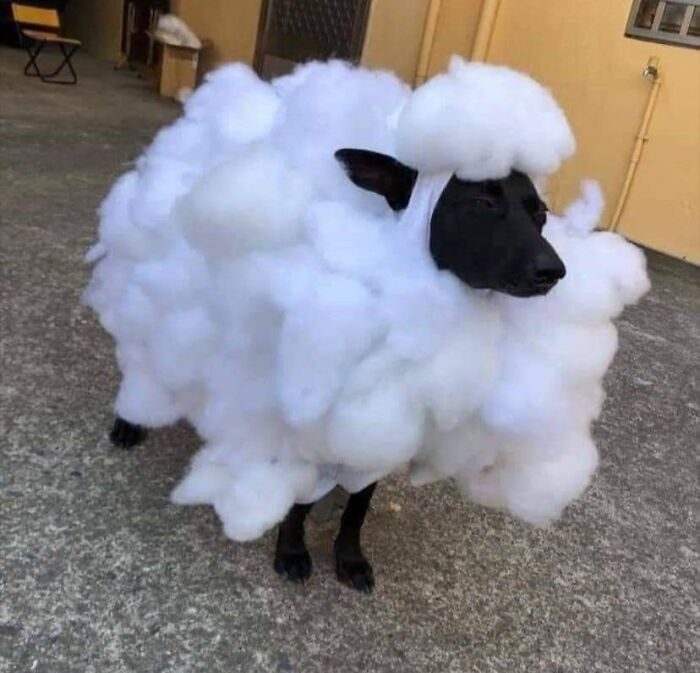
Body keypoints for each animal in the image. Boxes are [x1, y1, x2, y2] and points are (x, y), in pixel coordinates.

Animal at [85, 57, 650, 590]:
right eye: (480, 201)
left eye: (540, 213)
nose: (553, 271)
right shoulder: (313, 406)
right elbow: (299, 499)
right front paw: (292, 550)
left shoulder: (379, 426)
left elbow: (359, 506)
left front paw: (350, 558)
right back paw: (130, 420)